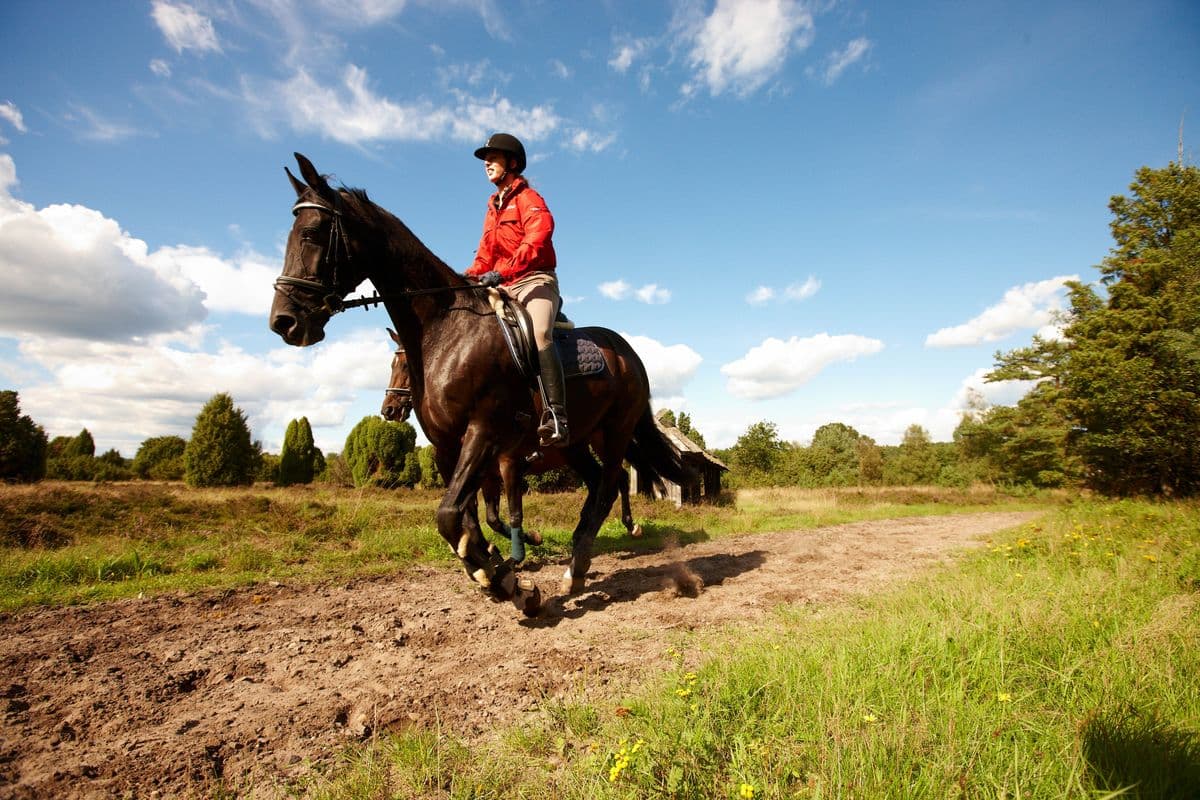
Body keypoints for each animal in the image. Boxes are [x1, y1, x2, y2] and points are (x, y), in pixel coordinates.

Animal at [384, 328, 648, 561]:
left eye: (406, 366)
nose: (388, 409)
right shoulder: (487, 475)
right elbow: (490, 517)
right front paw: (501, 548)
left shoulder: (509, 465)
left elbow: (512, 513)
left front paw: (522, 547)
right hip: (582, 448)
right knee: (609, 479)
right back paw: (600, 528)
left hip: (607, 439)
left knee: (614, 479)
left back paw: (624, 526)